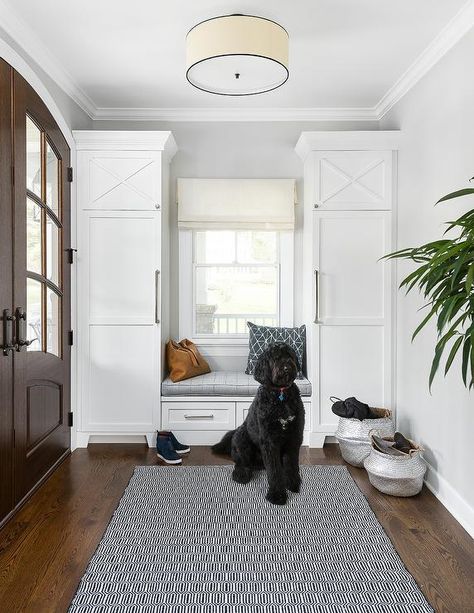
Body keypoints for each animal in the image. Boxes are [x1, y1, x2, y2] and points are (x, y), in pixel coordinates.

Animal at [212, 342, 304, 504]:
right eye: (275, 357)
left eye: (290, 354)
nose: (287, 367)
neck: (281, 395)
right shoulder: (269, 442)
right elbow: (274, 471)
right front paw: (277, 495)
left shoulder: (294, 437)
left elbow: (291, 464)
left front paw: (293, 483)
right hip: (242, 438)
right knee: (241, 462)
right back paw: (241, 474)